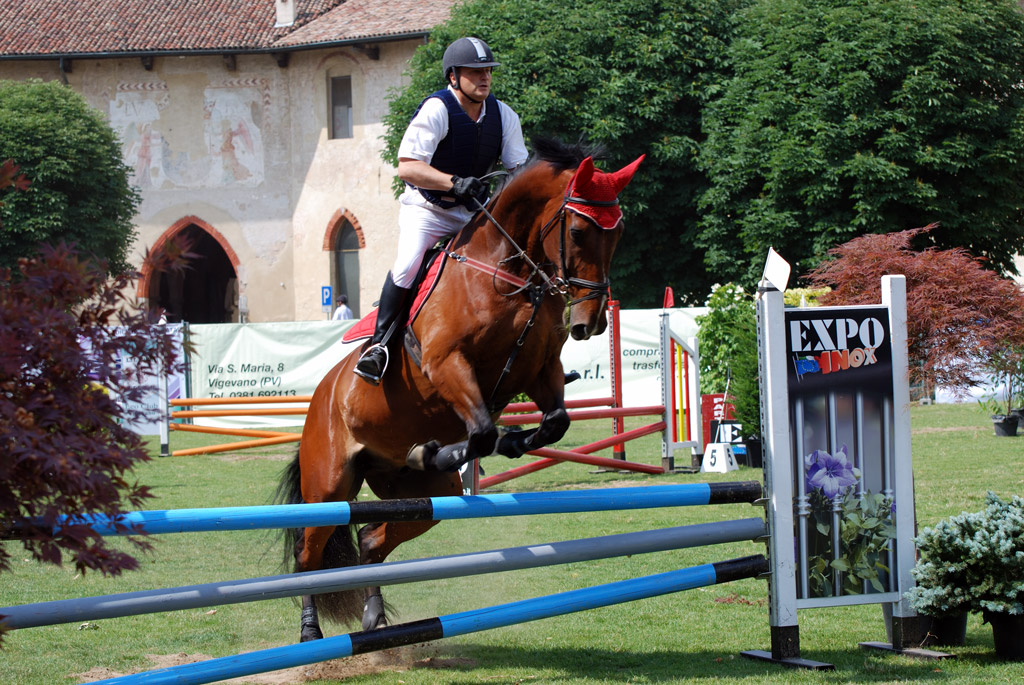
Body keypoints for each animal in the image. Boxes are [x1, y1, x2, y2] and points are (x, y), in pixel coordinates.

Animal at [278, 137, 645, 642]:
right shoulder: (447, 365)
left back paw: (374, 617)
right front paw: (451, 448)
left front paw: (510, 443)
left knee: (371, 539)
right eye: (578, 231)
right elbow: (484, 431)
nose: (591, 323)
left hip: (421, 494)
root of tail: (321, 397)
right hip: (328, 484)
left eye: (619, 231)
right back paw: (310, 631)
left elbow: (554, 422)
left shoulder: (540, 369)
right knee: (308, 554)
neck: (508, 272)